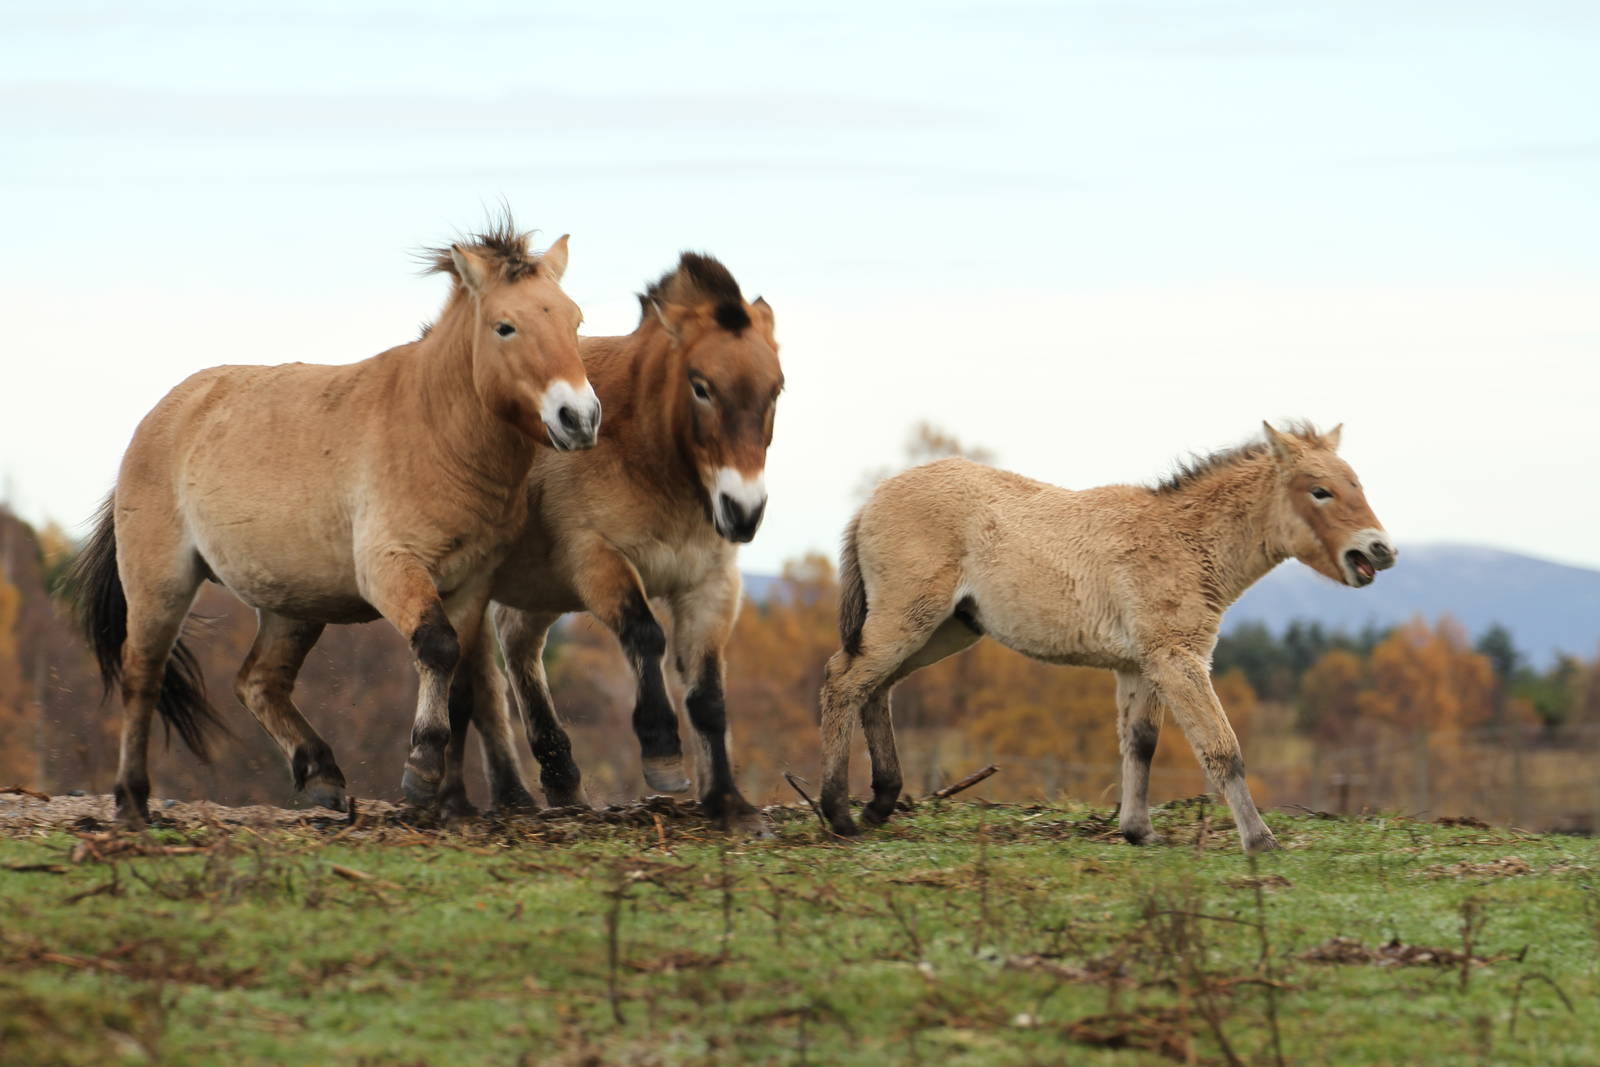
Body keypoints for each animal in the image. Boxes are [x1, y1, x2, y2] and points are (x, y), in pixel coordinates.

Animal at [67, 217, 600, 828]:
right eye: (505, 327)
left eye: (574, 320)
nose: (579, 418)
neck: (434, 428)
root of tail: (160, 419)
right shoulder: (392, 570)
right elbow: (438, 649)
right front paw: (421, 772)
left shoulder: (471, 585)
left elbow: (462, 685)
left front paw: (451, 801)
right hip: (161, 584)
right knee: (143, 677)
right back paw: (133, 802)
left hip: (292, 607)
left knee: (258, 682)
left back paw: (321, 774)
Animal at [448, 252, 783, 833]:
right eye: (700, 386)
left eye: (776, 389)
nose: (743, 512)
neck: (644, 452)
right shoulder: (598, 562)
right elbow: (646, 636)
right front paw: (663, 755)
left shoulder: (710, 586)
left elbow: (708, 693)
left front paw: (728, 803)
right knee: (483, 681)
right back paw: (511, 794)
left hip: (537, 591)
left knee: (516, 644)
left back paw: (560, 778)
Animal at [817, 422, 1395, 852]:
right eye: (1320, 491)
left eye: (1359, 485)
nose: (1381, 549)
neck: (1184, 542)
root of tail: (870, 501)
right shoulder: (1178, 659)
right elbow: (1221, 748)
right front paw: (1260, 841)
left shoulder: (1140, 665)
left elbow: (1140, 743)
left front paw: (1138, 831)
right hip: (909, 618)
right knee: (843, 680)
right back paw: (838, 814)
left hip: (945, 631)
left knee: (876, 688)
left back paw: (879, 804)